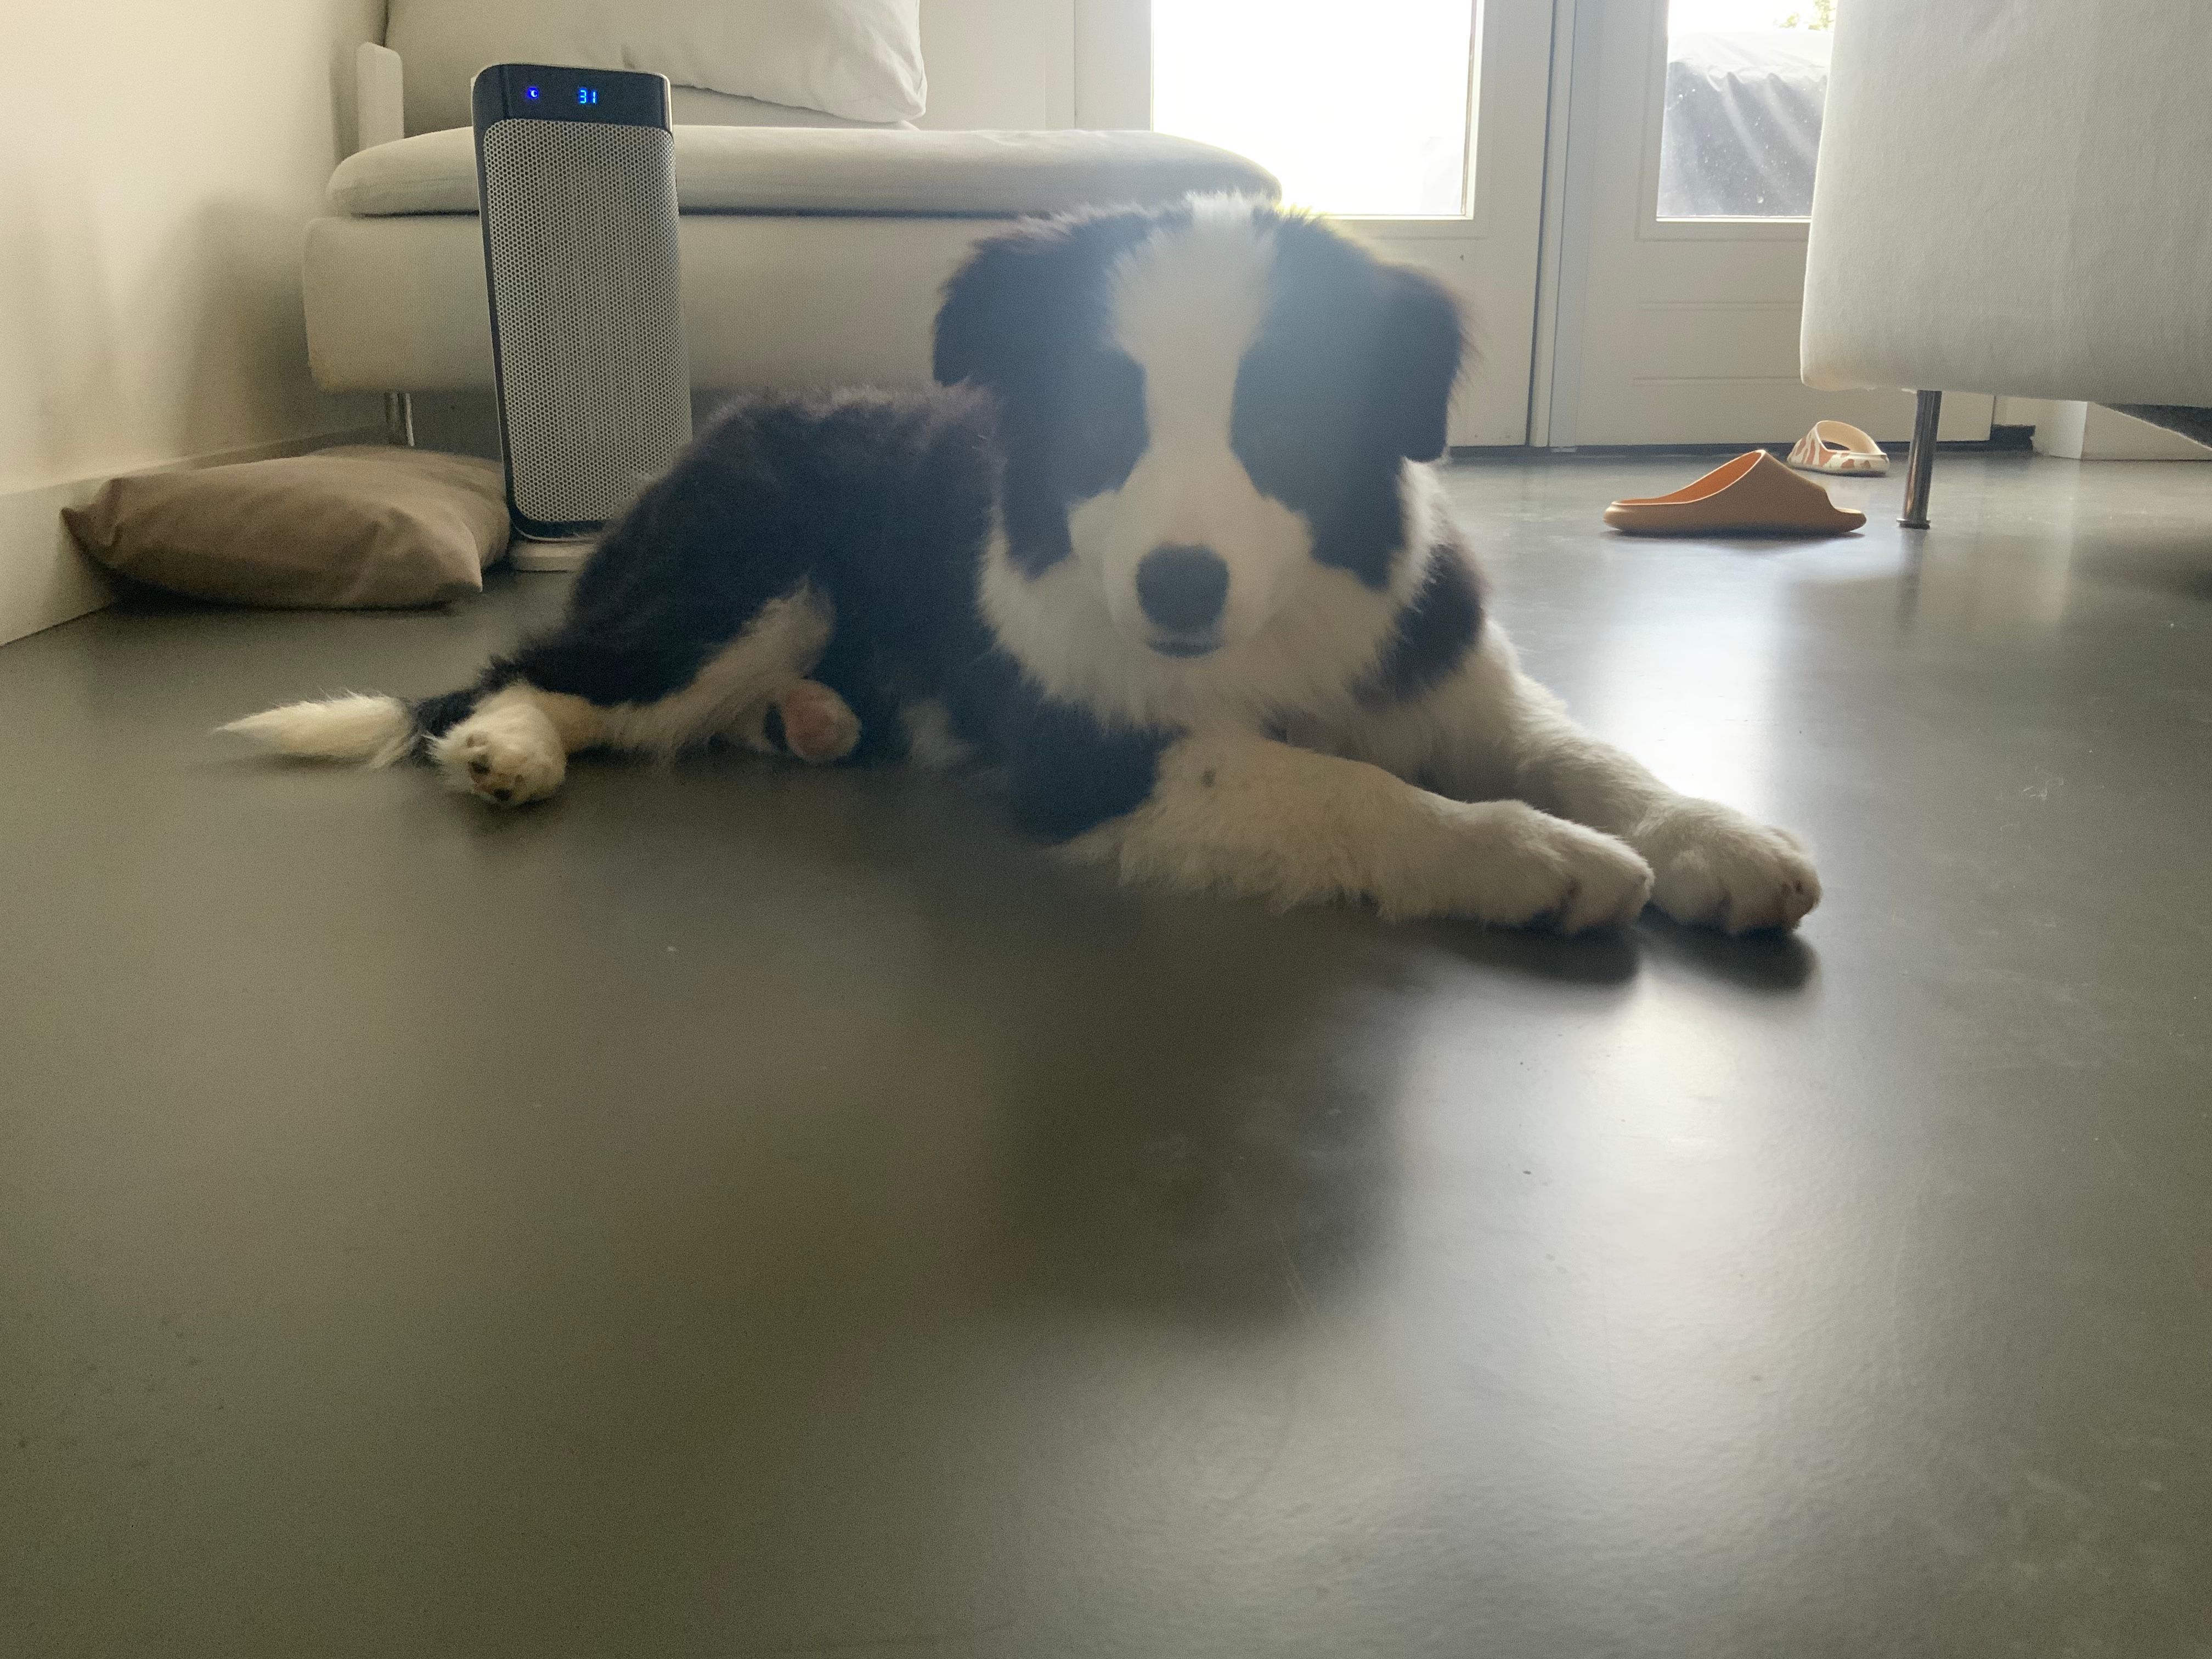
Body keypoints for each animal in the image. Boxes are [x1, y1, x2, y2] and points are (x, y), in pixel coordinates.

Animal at [226, 195, 1819, 934]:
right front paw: (1542, 861)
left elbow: (1584, 750)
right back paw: (509, 747)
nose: (1178, 589)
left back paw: (815, 720)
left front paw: (1720, 839)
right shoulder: (1094, 750)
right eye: (1106, 424)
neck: (1264, 639)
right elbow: (1342, 787)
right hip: (750, 575)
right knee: (532, 676)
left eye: (1285, 426)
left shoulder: (1442, 666)